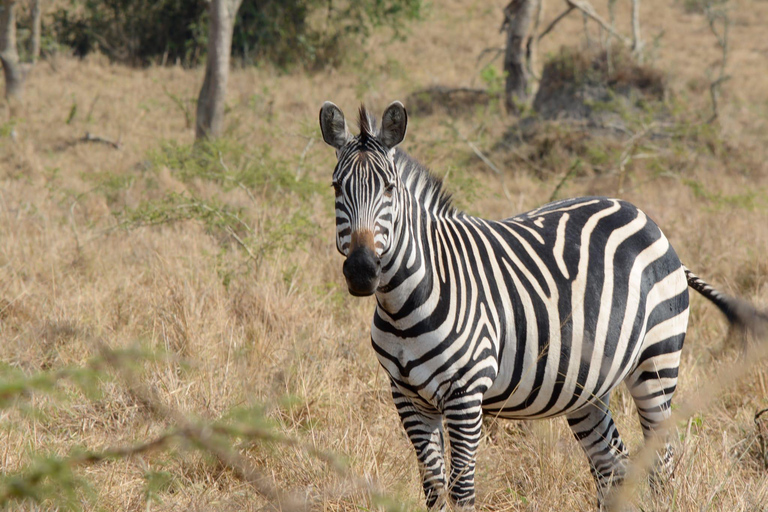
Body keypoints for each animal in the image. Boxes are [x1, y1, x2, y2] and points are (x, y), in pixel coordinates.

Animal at [316, 99, 760, 508]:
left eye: (389, 189)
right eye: (336, 188)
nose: (362, 271)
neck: (404, 304)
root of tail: (645, 218)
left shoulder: (465, 395)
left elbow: (461, 490)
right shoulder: (407, 397)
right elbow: (434, 491)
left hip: (657, 363)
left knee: (662, 462)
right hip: (589, 386)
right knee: (612, 466)